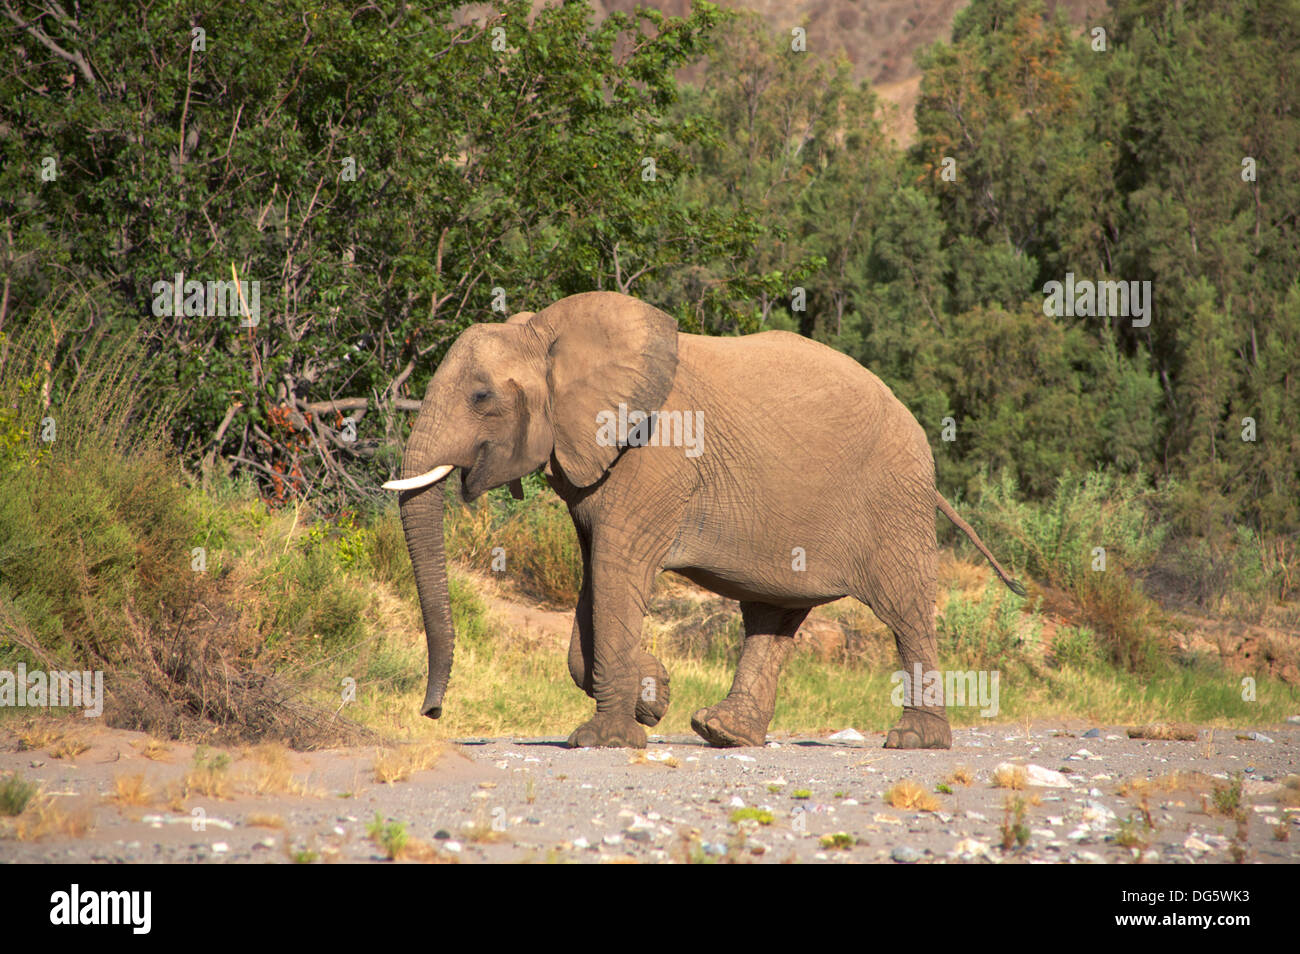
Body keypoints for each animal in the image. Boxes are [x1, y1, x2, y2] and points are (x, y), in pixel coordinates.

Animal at [379, 287, 1019, 748]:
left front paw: (605, 737)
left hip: (894, 497)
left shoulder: (651, 458)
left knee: (904, 609)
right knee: (773, 612)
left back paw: (914, 742)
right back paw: (723, 732)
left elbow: (617, 571)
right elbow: (594, 576)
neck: (550, 332)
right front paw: (653, 695)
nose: (432, 712)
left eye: (481, 397)